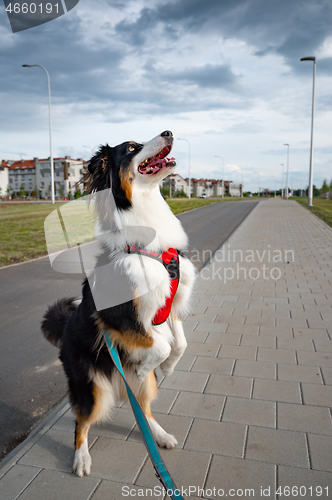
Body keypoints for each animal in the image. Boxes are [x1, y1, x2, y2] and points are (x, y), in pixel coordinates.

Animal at [42, 131, 196, 478]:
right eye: (131, 148)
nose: (168, 132)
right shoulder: (116, 316)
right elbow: (160, 344)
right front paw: (146, 366)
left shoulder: (170, 303)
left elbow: (179, 343)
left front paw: (165, 367)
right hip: (91, 386)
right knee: (82, 421)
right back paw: (81, 458)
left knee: (144, 408)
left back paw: (160, 435)